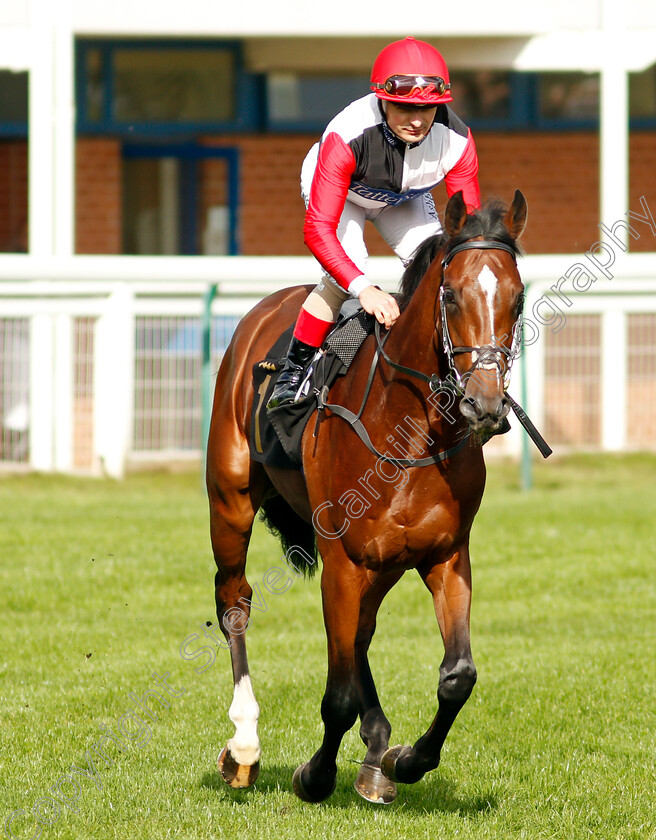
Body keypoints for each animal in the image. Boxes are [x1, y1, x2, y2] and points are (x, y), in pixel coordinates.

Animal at [205, 187, 528, 804]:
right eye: (450, 294)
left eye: (517, 298)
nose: (485, 404)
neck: (410, 432)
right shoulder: (341, 561)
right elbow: (338, 695)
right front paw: (315, 774)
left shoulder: (445, 555)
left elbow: (458, 676)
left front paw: (406, 759)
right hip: (230, 500)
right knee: (235, 601)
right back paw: (244, 745)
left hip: (381, 563)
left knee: (360, 635)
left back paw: (377, 748)